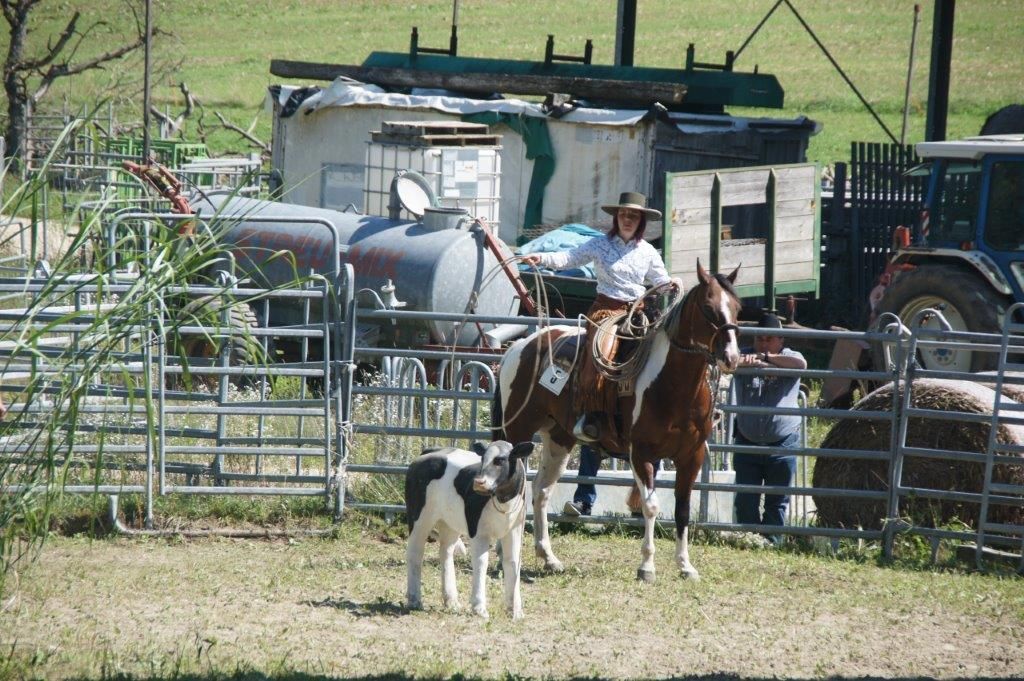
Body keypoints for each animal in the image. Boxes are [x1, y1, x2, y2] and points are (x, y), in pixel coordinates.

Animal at [492, 262, 741, 582]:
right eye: (709, 308)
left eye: (737, 307)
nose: (731, 357)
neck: (673, 386)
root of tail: (519, 346)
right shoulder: (641, 453)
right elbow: (651, 506)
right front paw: (647, 566)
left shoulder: (692, 455)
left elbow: (683, 509)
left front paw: (686, 566)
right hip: (517, 432)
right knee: (511, 490)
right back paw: (503, 557)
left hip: (558, 439)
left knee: (541, 492)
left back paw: (548, 558)